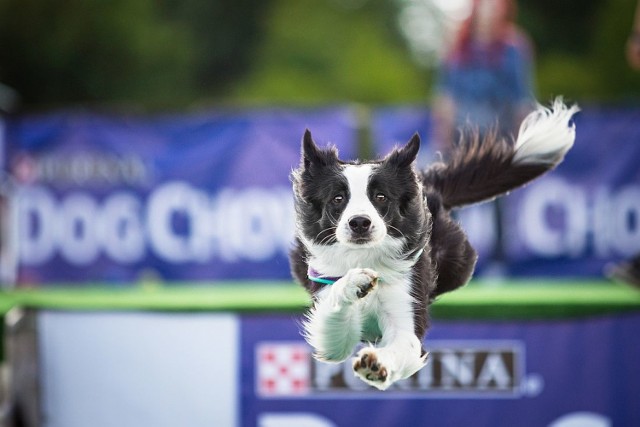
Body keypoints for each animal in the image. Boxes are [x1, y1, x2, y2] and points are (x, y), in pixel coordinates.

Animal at [290, 98, 580, 392]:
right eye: (337, 199)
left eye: (381, 197)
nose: (360, 222)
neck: (364, 255)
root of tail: (427, 185)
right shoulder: (329, 321)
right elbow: (335, 316)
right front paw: (354, 281)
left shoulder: (406, 308)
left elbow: (403, 344)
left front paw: (376, 364)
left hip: (458, 262)